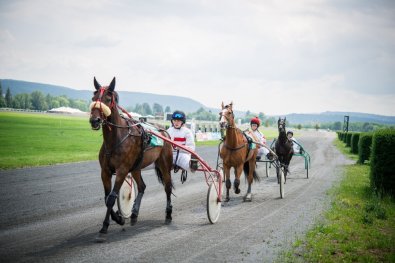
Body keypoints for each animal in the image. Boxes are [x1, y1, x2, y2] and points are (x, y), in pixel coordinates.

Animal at [91, 77, 175, 239]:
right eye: (93, 98)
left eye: (108, 99)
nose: (95, 120)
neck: (116, 140)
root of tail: (164, 130)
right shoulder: (104, 171)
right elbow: (106, 198)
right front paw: (119, 218)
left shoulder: (122, 170)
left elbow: (111, 198)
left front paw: (105, 226)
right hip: (136, 167)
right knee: (142, 186)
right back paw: (134, 214)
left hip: (164, 163)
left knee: (167, 187)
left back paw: (168, 215)